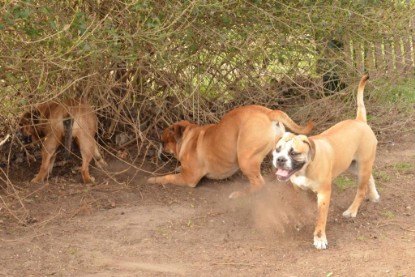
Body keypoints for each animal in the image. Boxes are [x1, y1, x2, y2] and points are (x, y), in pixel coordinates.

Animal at [148, 104, 314, 197]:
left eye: (162, 141)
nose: (158, 148)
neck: (189, 137)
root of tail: (269, 112)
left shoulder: (189, 178)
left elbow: (168, 177)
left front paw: (154, 179)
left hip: (245, 158)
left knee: (258, 183)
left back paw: (240, 194)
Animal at [272, 74, 380, 249]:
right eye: (277, 149)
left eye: (294, 153)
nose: (280, 159)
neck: (306, 167)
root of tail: (360, 121)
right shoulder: (298, 190)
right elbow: (300, 206)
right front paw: (300, 220)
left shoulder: (324, 194)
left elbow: (321, 218)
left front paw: (320, 238)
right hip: (354, 165)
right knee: (370, 176)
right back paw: (374, 195)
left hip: (362, 166)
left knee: (361, 190)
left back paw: (352, 210)